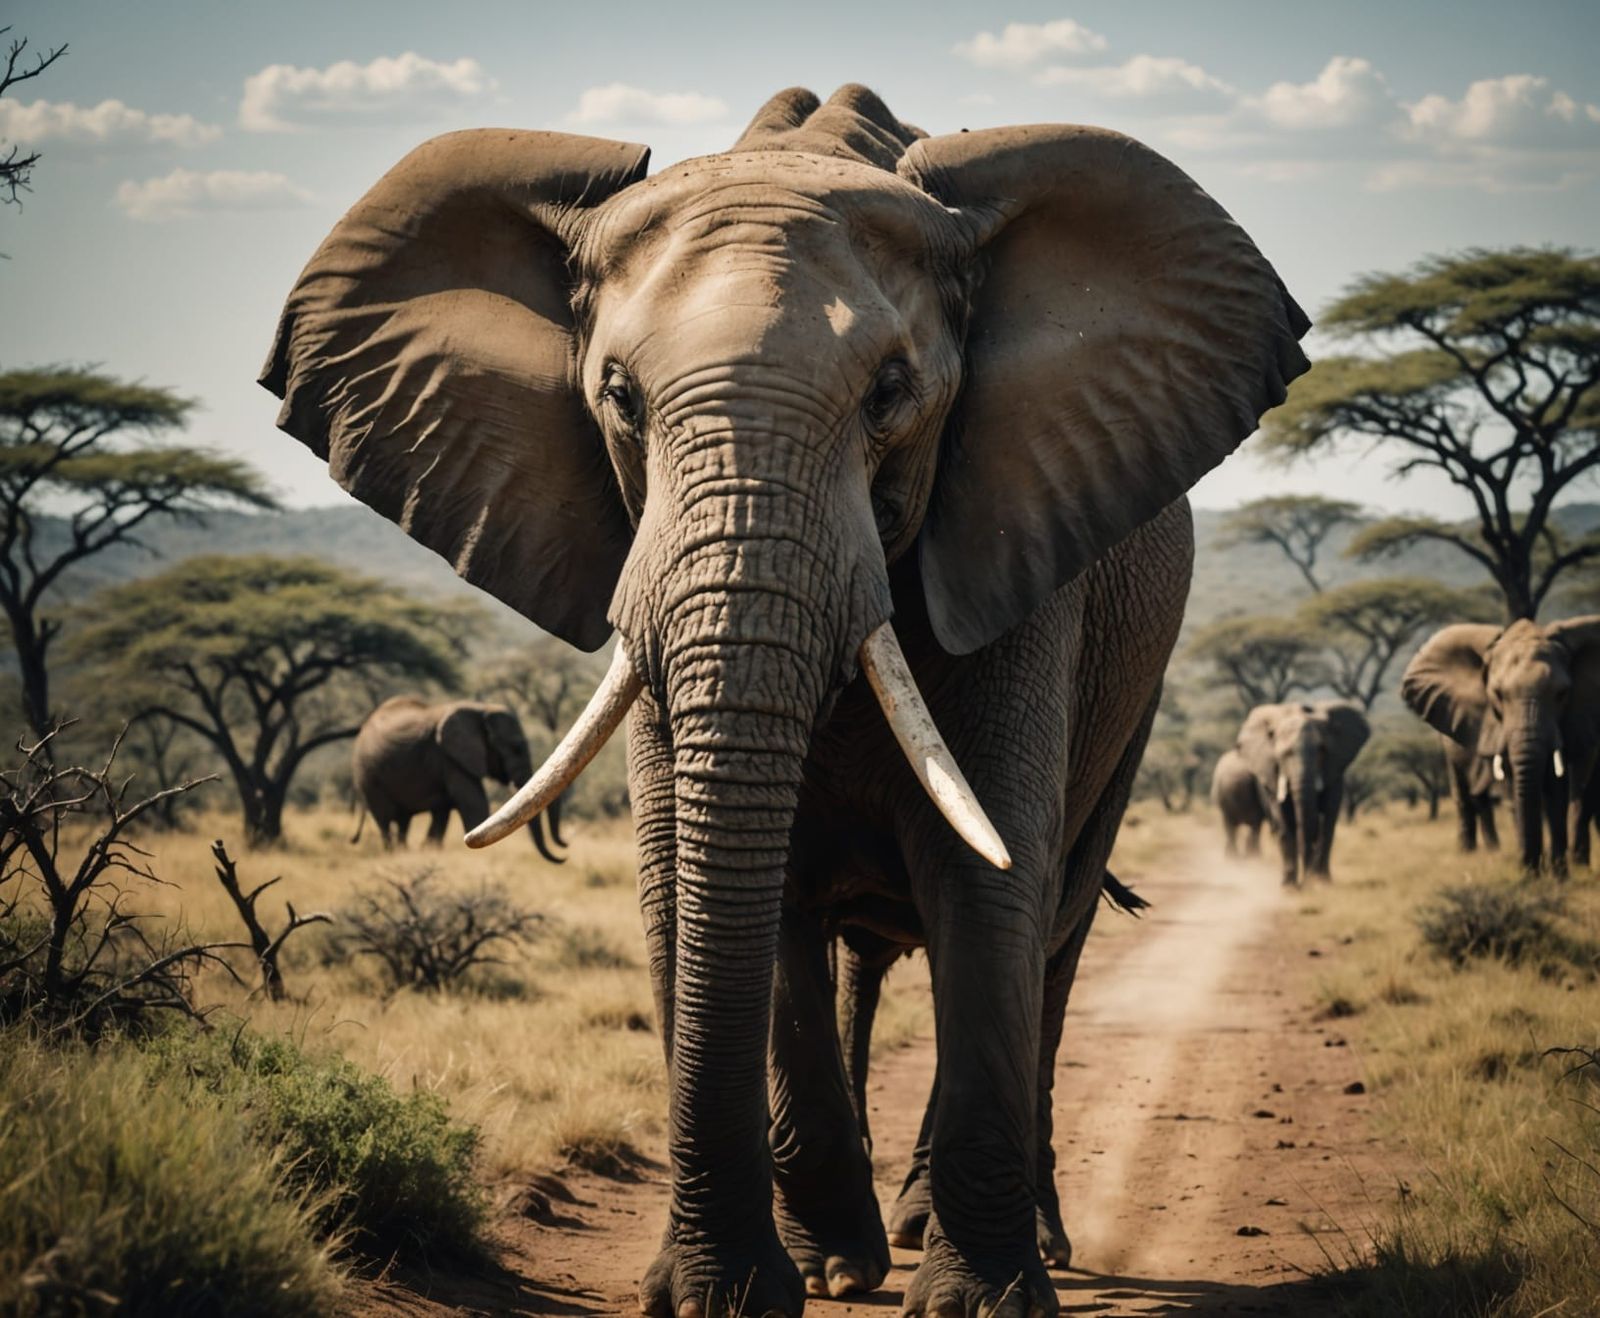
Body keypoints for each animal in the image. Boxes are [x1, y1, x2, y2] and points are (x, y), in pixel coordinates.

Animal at [351, 697, 565, 862]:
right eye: (516, 748)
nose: (564, 848)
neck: (480, 709)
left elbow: (442, 815)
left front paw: (430, 850)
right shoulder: (449, 757)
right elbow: (475, 805)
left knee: (404, 821)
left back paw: (403, 853)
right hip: (368, 774)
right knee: (385, 819)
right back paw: (393, 854)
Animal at [1233, 701, 1370, 886]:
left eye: (1321, 750)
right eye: (1283, 754)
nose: (1307, 880)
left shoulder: (1333, 768)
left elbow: (1328, 820)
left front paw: (1321, 882)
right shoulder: (1272, 772)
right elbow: (1282, 819)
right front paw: (1289, 886)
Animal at [1403, 617, 1600, 872]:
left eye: (1561, 694)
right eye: (1497, 694)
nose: (1529, 866)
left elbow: (1558, 790)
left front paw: (1558, 875)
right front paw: (1531, 873)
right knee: (1468, 797)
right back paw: (1469, 854)